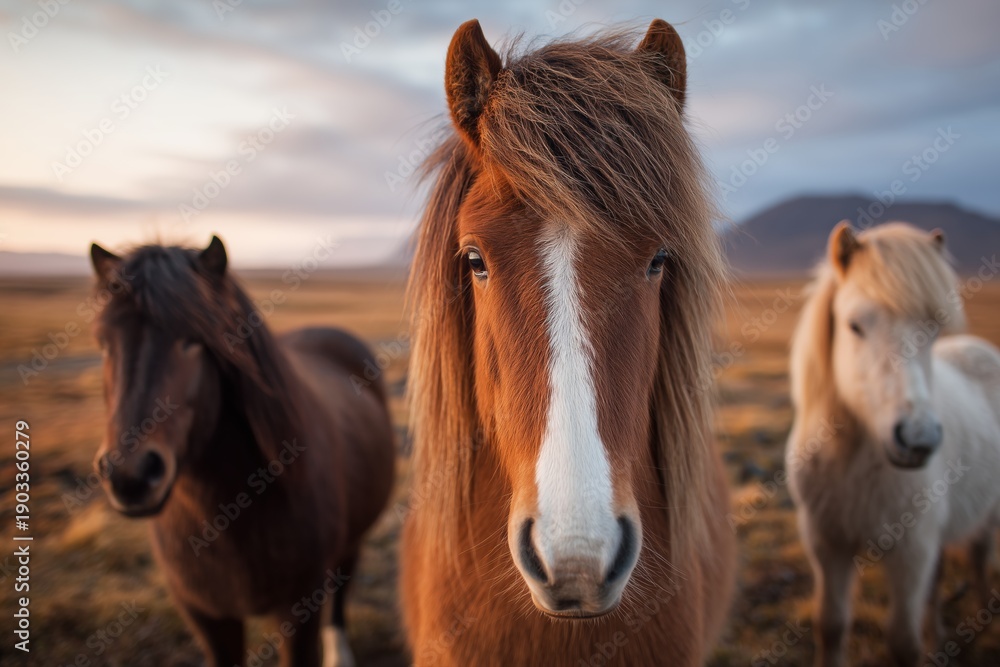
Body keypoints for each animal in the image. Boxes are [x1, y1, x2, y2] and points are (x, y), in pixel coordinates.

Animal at [88, 236, 395, 667]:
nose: (130, 475)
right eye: (104, 344)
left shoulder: (300, 609)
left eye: (193, 340)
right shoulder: (207, 617)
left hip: (353, 539)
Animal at [787, 221, 1000, 667]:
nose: (919, 440)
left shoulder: (910, 552)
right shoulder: (827, 543)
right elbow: (831, 625)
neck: (854, 461)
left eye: (933, 329)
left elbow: (903, 641)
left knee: (978, 559)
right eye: (854, 325)